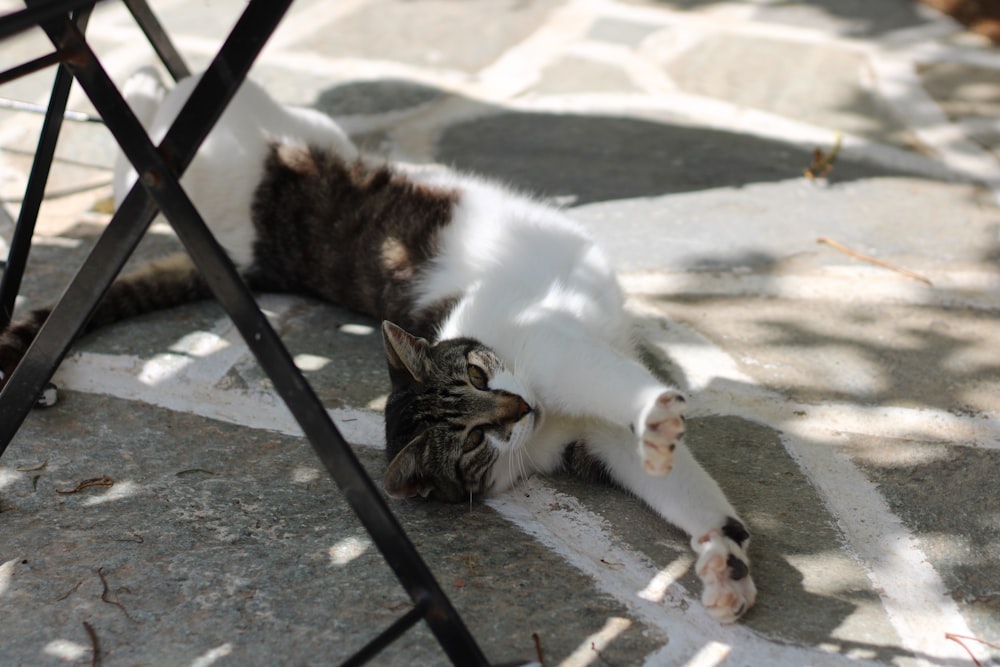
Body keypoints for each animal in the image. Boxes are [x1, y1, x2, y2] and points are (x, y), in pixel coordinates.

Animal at [0, 68, 756, 620]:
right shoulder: (569, 392)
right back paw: (137, 78)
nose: (517, 411)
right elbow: (637, 430)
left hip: (272, 132)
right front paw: (669, 451)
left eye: (477, 372)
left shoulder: (550, 353)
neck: (543, 422)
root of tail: (240, 255)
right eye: (473, 443)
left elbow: (675, 473)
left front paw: (725, 557)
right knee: (153, 121)